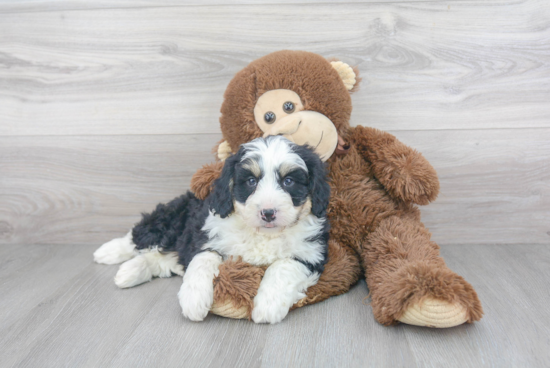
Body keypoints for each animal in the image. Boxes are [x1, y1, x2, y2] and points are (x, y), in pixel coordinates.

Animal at [92, 137, 330, 324]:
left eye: (288, 181)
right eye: (251, 181)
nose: (268, 213)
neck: (263, 234)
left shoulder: (312, 254)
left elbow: (283, 266)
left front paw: (267, 305)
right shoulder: (206, 237)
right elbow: (203, 260)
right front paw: (193, 299)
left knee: (162, 260)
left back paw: (129, 272)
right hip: (170, 220)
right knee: (141, 235)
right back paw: (108, 252)